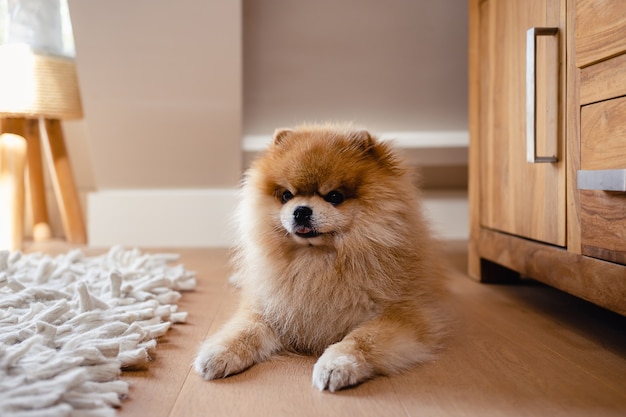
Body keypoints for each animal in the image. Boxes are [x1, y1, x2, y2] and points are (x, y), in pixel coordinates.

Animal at [193, 123, 446, 390]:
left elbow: (360, 338)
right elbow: (244, 330)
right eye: (286, 196)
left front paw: (336, 364)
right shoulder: (270, 306)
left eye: (334, 196)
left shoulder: (404, 315)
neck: (317, 261)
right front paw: (218, 352)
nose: (301, 211)